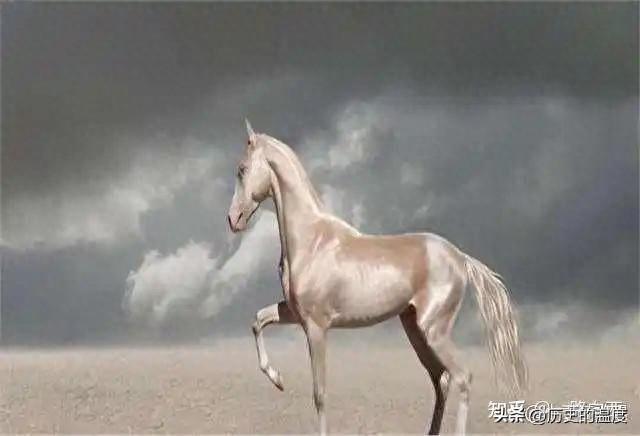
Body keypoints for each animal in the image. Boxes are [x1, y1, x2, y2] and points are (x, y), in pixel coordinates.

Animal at [226, 120, 528, 435]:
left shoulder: (316, 327)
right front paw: (277, 379)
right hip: (416, 331)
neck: (312, 241)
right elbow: (257, 321)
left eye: (242, 169)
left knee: (462, 376)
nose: (233, 219)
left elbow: (319, 394)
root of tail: (460, 257)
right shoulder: (294, 314)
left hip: (434, 330)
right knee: (441, 380)